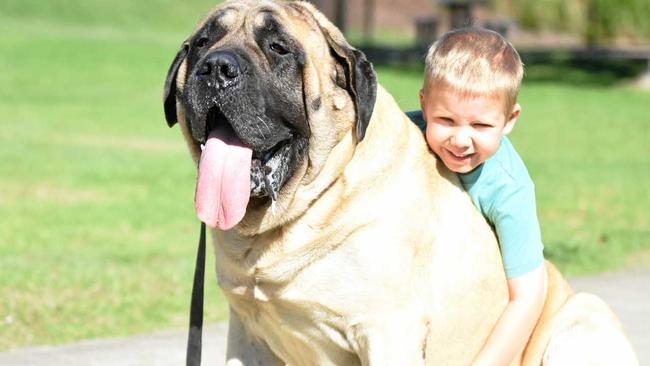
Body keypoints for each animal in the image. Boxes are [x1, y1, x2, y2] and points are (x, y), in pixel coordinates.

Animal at [161, 1, 632, 364]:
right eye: (201, 43)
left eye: (278, 48)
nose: (217, 67)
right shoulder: (248, 334)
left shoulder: (386, 330)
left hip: (581, 315)